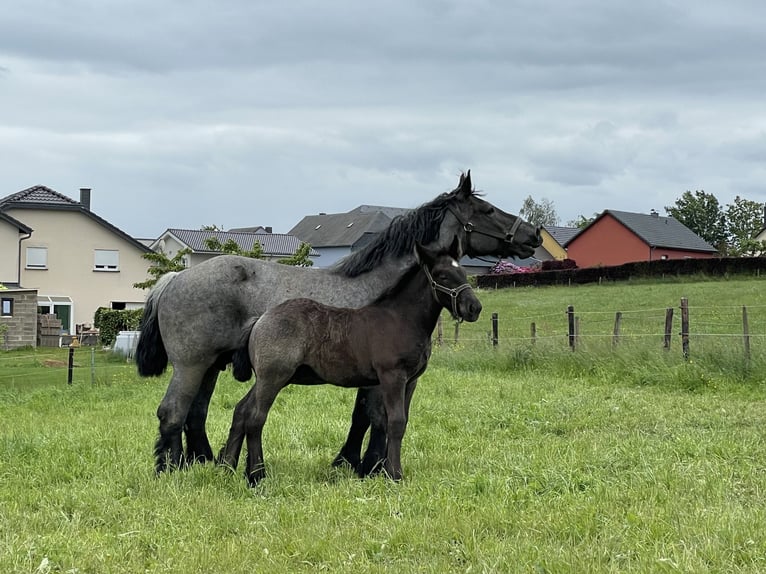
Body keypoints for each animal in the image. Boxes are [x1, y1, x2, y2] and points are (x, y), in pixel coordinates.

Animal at [218, 238, 480, 486]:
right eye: (442, 275)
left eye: (463, 272)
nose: (474, 308)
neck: (401, 319)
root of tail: (261, 319)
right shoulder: (392, 377)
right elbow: (395, 422)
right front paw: (394, 475)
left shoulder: (411, 381)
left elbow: (399, 422)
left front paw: (383, 470)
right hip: (272, 378)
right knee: (255, 418)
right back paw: (256, 476)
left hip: (268, 379)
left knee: (242, 410)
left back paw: (228, 468)